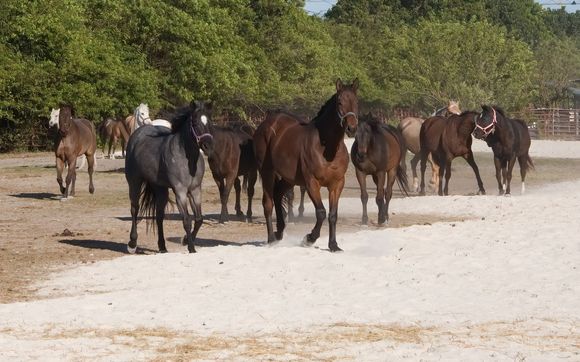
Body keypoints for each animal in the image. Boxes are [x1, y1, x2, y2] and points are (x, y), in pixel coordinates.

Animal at [124, 100, 213, 253]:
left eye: (209, 121)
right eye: (195, 123)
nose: (208, 145)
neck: (187, 158)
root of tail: (137, 135)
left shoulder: (195, 190)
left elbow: (199, 219)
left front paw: (185, 240)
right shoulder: (180, 191)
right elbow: (187, 220)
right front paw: (191, 247)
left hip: (160, 189)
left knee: (159, 216)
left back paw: (162, 247)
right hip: (134, 182)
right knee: (134, 209)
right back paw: (132, 244)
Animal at [254, 78, 358, 252]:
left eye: (356, 102)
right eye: (339, 102)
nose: (352, 128)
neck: (327, 148)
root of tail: (267, 124)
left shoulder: (337, 184)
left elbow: (333, 215)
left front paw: (333, 245)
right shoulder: (311, 183)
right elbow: (321, 212)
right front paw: (309, 238)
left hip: (289, 179)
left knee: (277, 194)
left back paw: (279, 232)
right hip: (267, 171)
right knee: (268, 203)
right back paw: (271, 239)